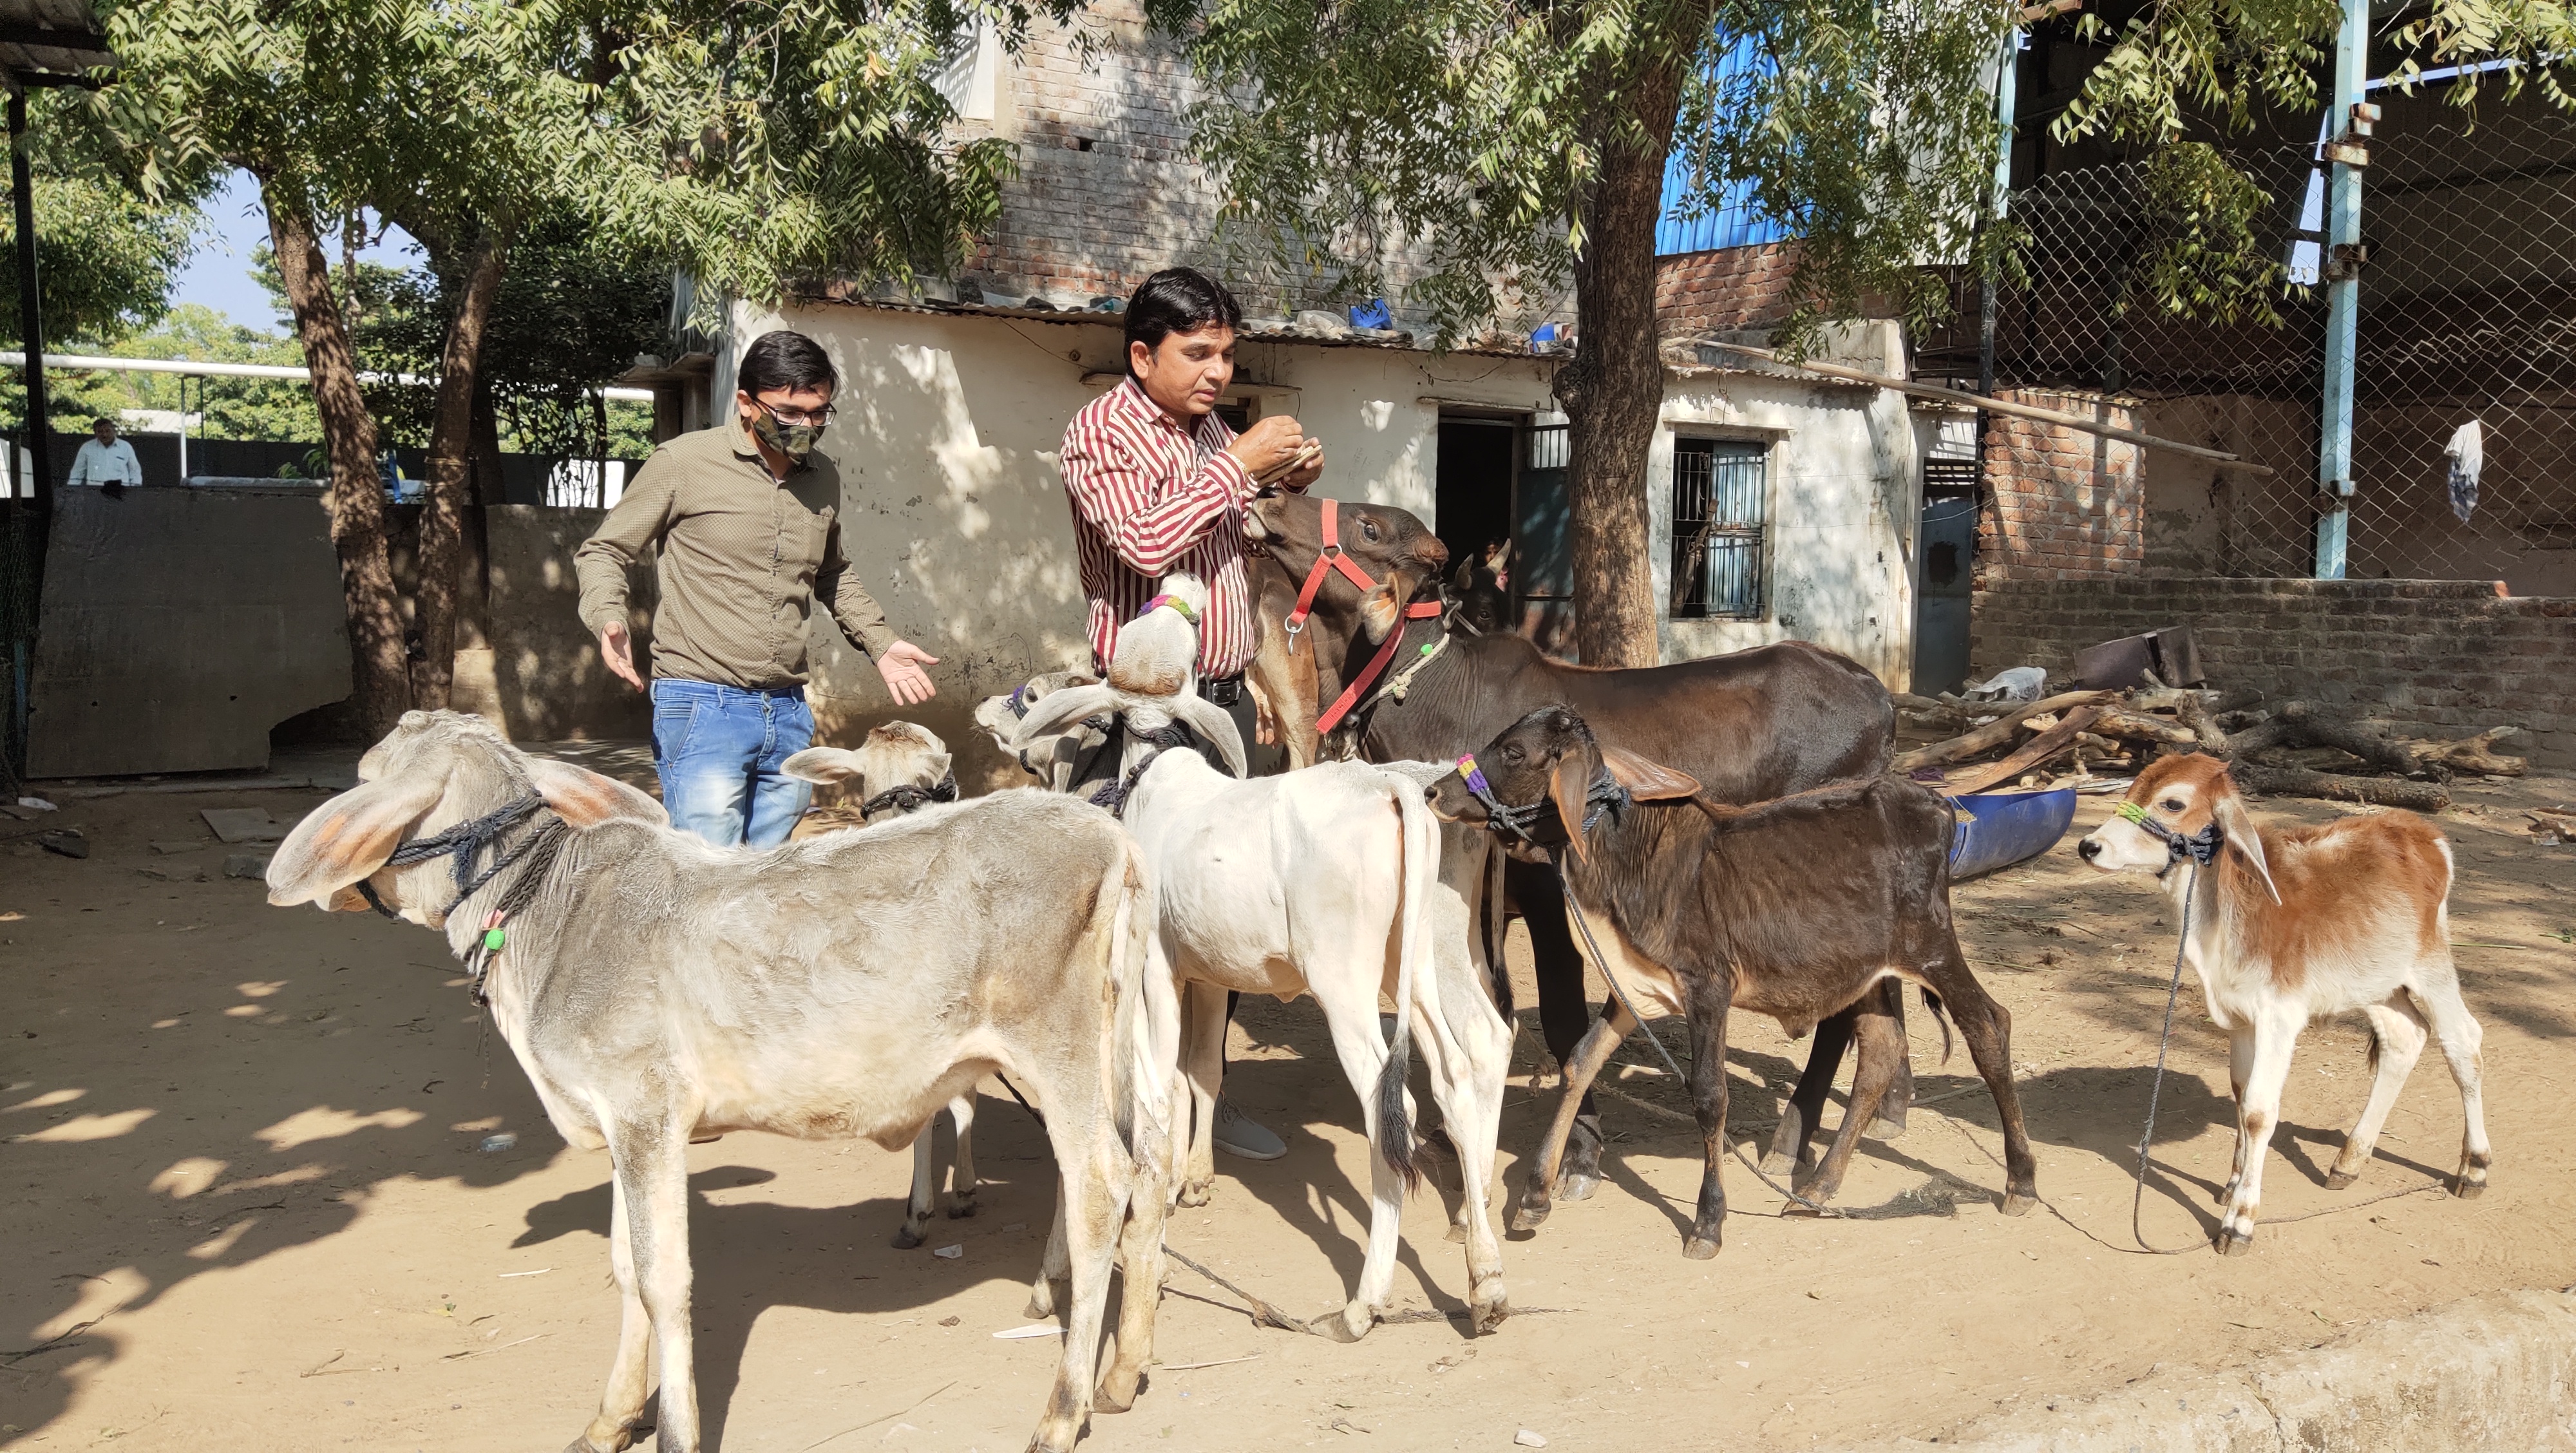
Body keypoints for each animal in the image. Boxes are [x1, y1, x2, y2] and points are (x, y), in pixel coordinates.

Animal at [1236, 487, 1906, 1190]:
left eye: (1367, 526)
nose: (1270, 494)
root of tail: (1874, 690)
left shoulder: (1547, 899)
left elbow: (1562, 1021)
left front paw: (1579, 1152)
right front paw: (1454, 1132)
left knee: (1842, 1014)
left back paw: (1796, 1139)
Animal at [1422, 711, 2040, 1252]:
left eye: (1513, 751)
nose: (1434, 792)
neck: (1632, 856)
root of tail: (1934, 802)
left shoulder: (1708, 990)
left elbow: (1709, 1097)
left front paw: (1709, 1222)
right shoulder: (1634, 990)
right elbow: (1579, 1062)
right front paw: (1534, 1197)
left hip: (1932, 949)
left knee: (1990, 1025)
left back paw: (2022, 1182)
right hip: (1869, 973)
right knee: (1883, 1051)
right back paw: (1817, 1189)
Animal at [2071, 757, 2494, 1252]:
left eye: (2172, 803)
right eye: (2133, 787)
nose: (2090, 846)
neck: (2227, 915)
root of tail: (2424, 832)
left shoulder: (2279, 1016)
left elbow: (2258, 1110)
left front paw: (2239, 1220)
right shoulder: (2240, 1019)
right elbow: (2240, 1093)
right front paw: (2232, 1184)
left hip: (2431, 967)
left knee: (2463, 1043)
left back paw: (2475, 1167)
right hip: (2377, 982)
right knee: (2404, 1039)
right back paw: (2348, 1162)